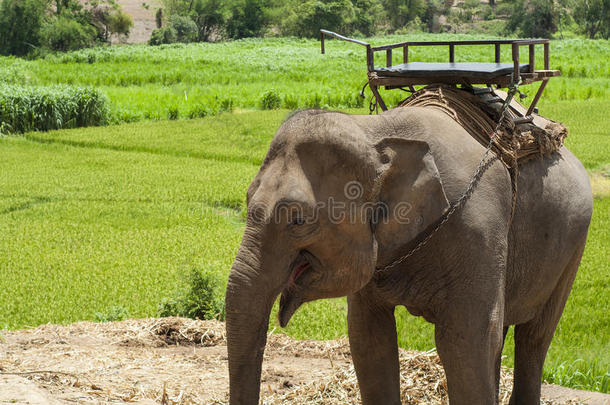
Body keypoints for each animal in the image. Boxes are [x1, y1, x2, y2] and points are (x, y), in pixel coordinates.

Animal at [223, 105, 588, 402]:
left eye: (298, 219)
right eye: (247, 199)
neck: (377, 132)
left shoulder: (478, 226)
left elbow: (465, 341)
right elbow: (369, 337)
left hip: (573, 248)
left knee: (533, 338)